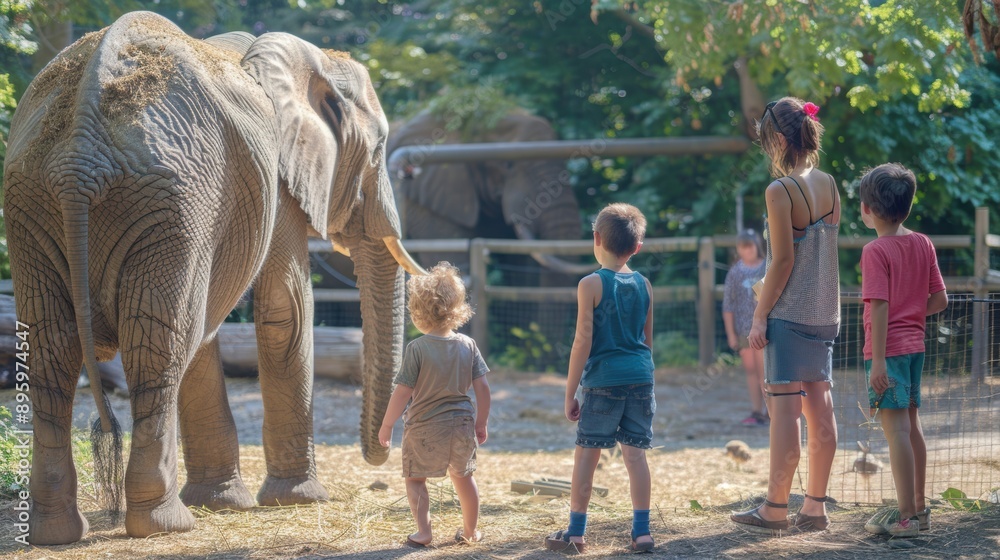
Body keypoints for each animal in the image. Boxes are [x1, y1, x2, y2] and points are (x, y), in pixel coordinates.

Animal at [3, 11, 423, 544]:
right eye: (379, 147)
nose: (379, 454)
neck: (310, 58)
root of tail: (81, 151)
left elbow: (207, 328)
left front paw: (223, 504)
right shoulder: (276, 184)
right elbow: (285, 309)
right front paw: (299, 499)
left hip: (36, 199)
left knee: (54, 350)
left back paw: (56, 533)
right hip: (169, 199)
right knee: (157, 347)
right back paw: (164, 524)